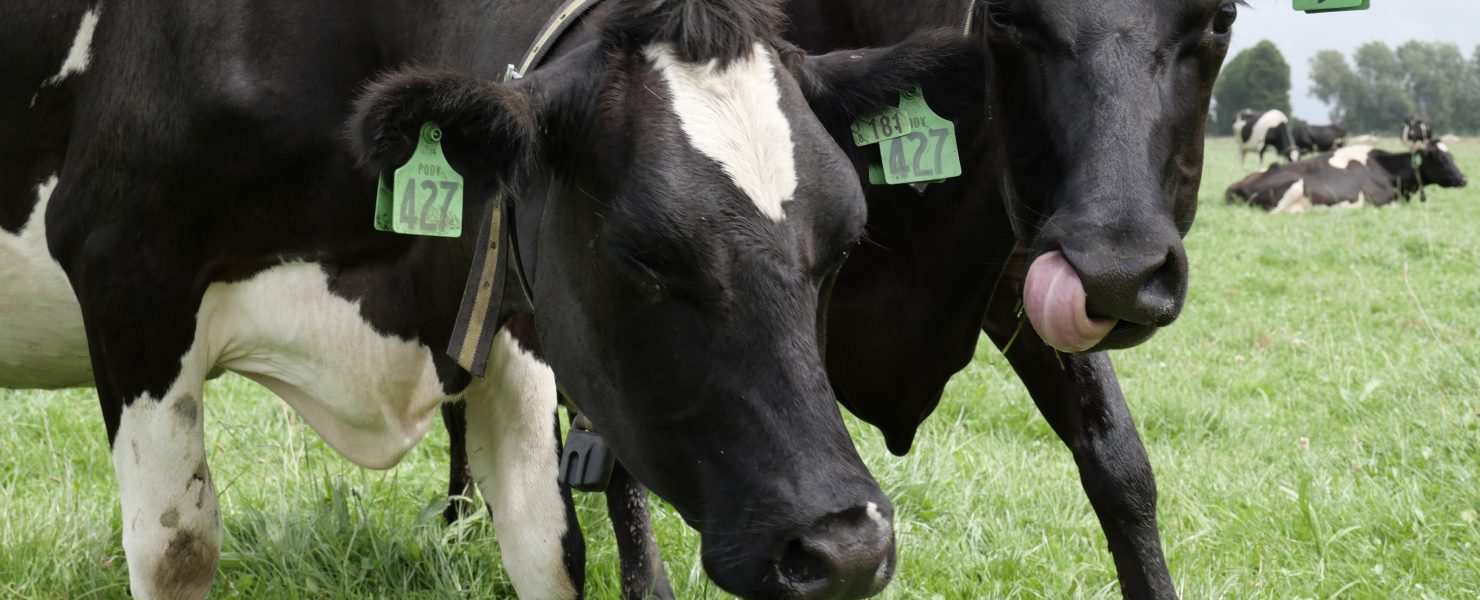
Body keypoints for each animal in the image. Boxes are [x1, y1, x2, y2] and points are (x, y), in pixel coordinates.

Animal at [0, 0, 979, 598]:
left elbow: (551, 548)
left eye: (845, 242)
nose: (847, 549)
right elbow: (177, 549)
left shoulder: (512, 314)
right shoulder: (131, 285)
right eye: (643, 253)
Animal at [1225, 142, 1468, 212]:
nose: (1464, 179)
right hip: (1294, 186)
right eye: (1440, 158)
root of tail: (1236, 184)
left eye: (1452, 156)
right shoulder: (1380, 201)